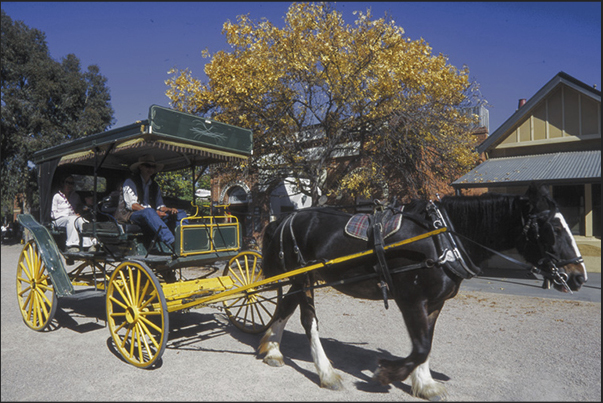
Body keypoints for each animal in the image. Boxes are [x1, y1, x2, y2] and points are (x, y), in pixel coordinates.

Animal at [258, 185, 584, 402]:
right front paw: (387, 374)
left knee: (285, 307)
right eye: (553, 228)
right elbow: (421, 346)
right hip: (303, 278)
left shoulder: (434, 303)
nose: (579, 276)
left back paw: (272, 349)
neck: (442, 238)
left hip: (302, 279)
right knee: (308, 321)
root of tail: (285, 219)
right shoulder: (411, 299)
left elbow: (427, 342)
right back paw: (325, 372)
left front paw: (425, 384)